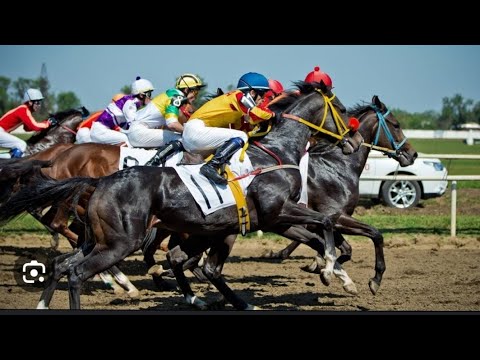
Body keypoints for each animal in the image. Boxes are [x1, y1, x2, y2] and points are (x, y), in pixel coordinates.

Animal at [0, 81, 364, 310]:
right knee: (76, 270)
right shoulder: (278, 212)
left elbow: (321, 230)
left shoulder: (268, 220)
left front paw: (336, 272)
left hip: (99, 237)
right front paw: (332, 271)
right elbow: (326, 223)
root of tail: (101, 181)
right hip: (121, 241)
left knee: (63, 263)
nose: (354, 142)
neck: (276, 152)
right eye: (341, 108)